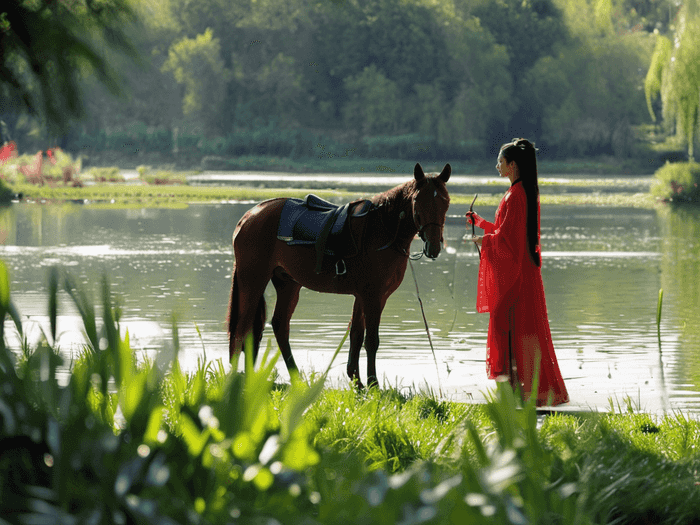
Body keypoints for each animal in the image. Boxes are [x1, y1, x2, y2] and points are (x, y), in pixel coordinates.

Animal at [227, 164, 452, 388]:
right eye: (417, 201)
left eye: (446, 201)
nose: (434, 246)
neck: (382, 230)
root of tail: (249, 216)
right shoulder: (373, 296)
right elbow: (371, 340)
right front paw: (373, 384)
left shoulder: (365, 296)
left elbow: (356, 336)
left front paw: (357, 382)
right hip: (253, 280)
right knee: (242, 329)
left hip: (287, 284)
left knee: (278, 326)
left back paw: (295, 378)